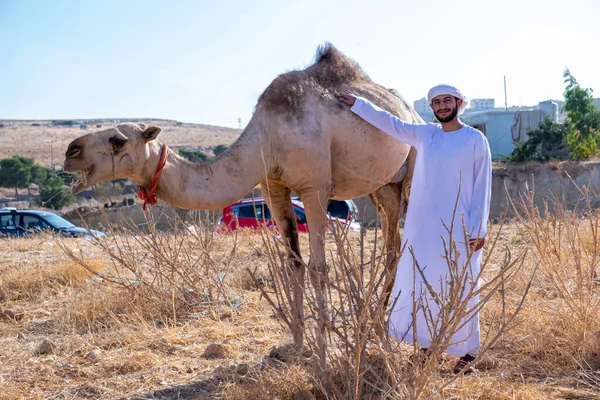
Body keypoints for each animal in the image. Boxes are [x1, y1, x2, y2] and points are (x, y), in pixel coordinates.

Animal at [63, 44, 422, 366]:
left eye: (117, 140)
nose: (70, 151)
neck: (269, 135)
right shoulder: (273, 186)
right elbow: (293, 262)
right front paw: (296, 346)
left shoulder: (315, 188)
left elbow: (319, 267)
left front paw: (322, 354)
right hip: (382, 188)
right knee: (392, 244)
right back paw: (376, 325)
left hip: (410, 172)